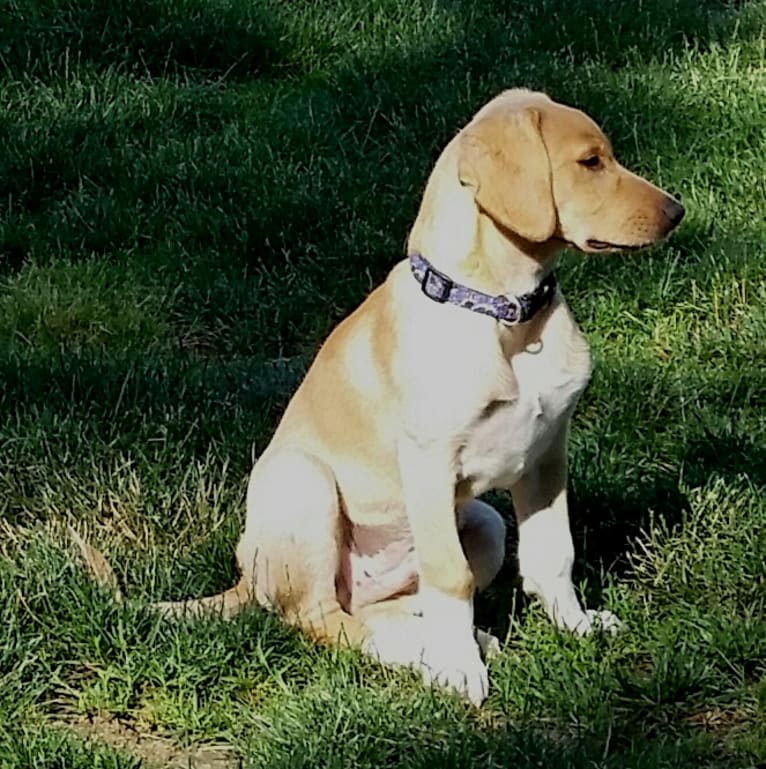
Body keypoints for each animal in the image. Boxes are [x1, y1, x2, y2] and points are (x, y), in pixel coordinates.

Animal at [75, 88, 688, 704]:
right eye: (590, 162)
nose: (677, 212)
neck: (505, 316)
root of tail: (245, 580)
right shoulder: (430, 462)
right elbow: (451, 575)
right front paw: (458, 670)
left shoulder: (546, 453)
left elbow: (551, 552)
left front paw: (576, 625)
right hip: (304, 483)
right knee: (324, 620)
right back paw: (428, 654)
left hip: (482, 521)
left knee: (385, 606)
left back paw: (454, 639)